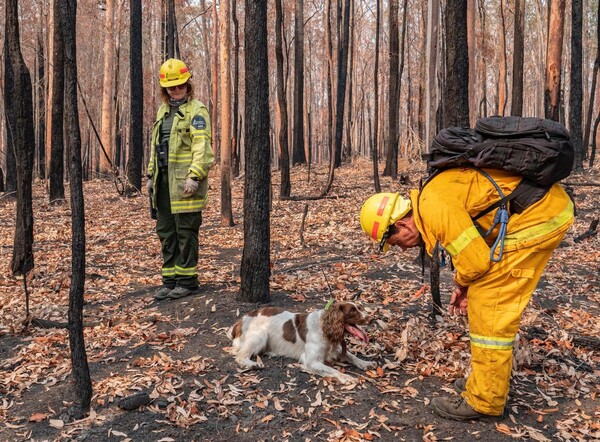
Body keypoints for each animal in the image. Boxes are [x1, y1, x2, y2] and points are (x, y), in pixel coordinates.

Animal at [227, 300, 372, 384]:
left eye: (359, 308)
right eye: (352, 310)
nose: (371, 318)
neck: (325, 327)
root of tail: (240, 321)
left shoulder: (335, 349)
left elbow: (352, 356)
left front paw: (365, 363)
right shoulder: (311, 361)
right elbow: (332, 370)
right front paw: (346, 377)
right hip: (260, 335)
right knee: (240, 356)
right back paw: (252, 365)